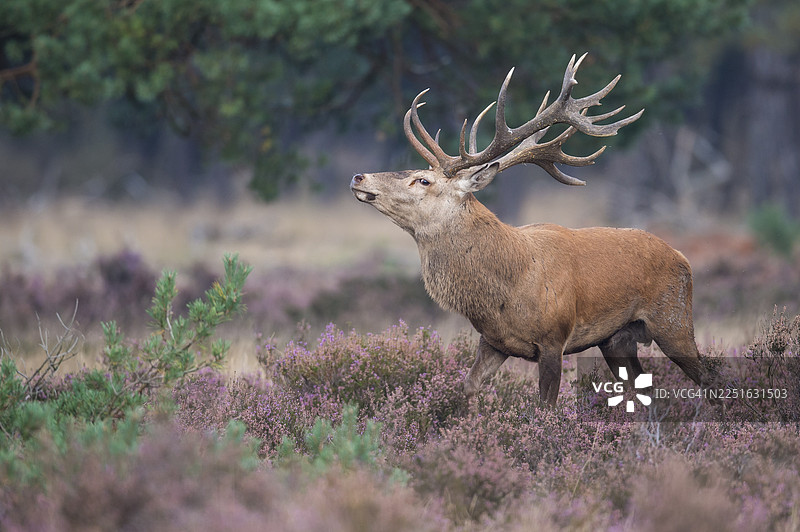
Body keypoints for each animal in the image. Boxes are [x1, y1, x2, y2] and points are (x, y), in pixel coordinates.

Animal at [350, 53, 709, 405]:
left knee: (708, 376)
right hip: (616, 339)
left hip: (674, 320)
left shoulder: (554, 339)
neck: (506, 288)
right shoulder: (493, 341)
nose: (359, 177)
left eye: (423, 180)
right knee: (641, 386)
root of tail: (682, 256)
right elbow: (469, 386)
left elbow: (545, 406)